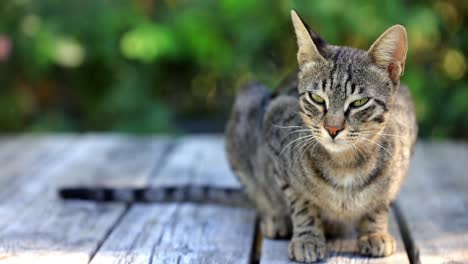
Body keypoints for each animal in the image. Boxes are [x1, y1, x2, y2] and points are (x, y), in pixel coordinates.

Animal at [224, 9, 416, 262]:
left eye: (359, 102)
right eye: (316, 98)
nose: (333, 129)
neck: (345, 165)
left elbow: (381, 202)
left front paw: (374, 232)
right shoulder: (275, 133)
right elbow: (302, 204)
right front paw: (307, 238)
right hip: (249, 101)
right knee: (257, 190)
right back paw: (276, 218)